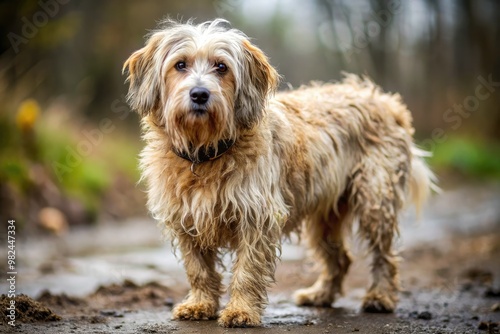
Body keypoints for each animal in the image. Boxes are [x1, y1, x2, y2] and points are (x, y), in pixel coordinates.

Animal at [124, 18, 434, 328]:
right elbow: (198, 269)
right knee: (340, 258)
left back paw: (379, 297)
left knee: (384, 256)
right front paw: (200, 304)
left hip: (375, 203)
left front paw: (241, 311)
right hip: (324, 219)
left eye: (221, 67)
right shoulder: (186, 220)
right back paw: (320, 295)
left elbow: (247, 270)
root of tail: (386, 101)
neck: (206, 152)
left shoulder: (257, 218)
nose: (199, 94)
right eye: (180, 65)